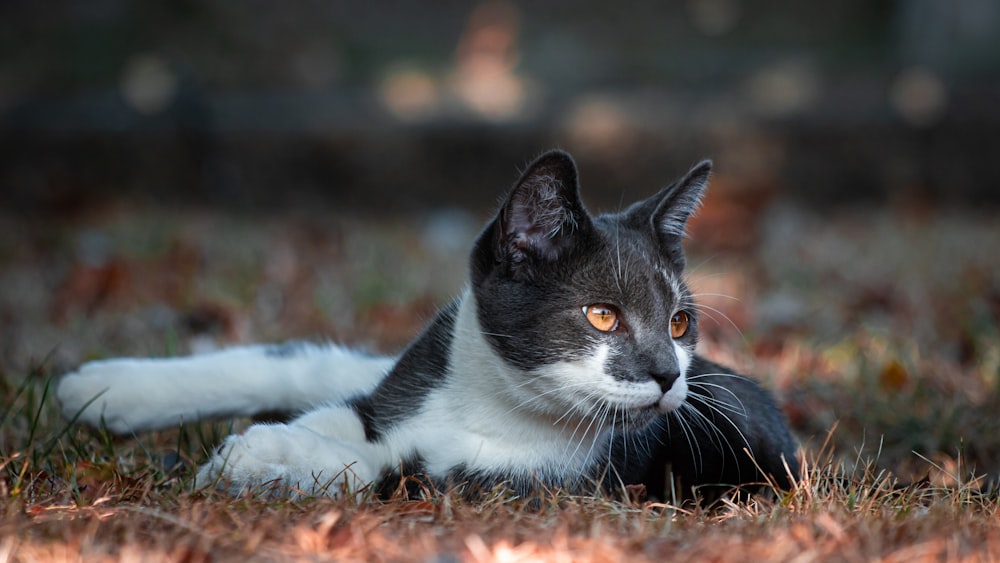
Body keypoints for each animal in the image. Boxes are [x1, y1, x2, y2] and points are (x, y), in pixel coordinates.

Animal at [58, 149, 800, 502]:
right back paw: (102, 388)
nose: (669, 376)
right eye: (602, 315)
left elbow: (388, 466)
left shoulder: (531, 487)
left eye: (678, 322)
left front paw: (258, 456)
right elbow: (344, 415)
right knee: (314, 364)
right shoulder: (408, 384)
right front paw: (269, 447)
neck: (491, 399)